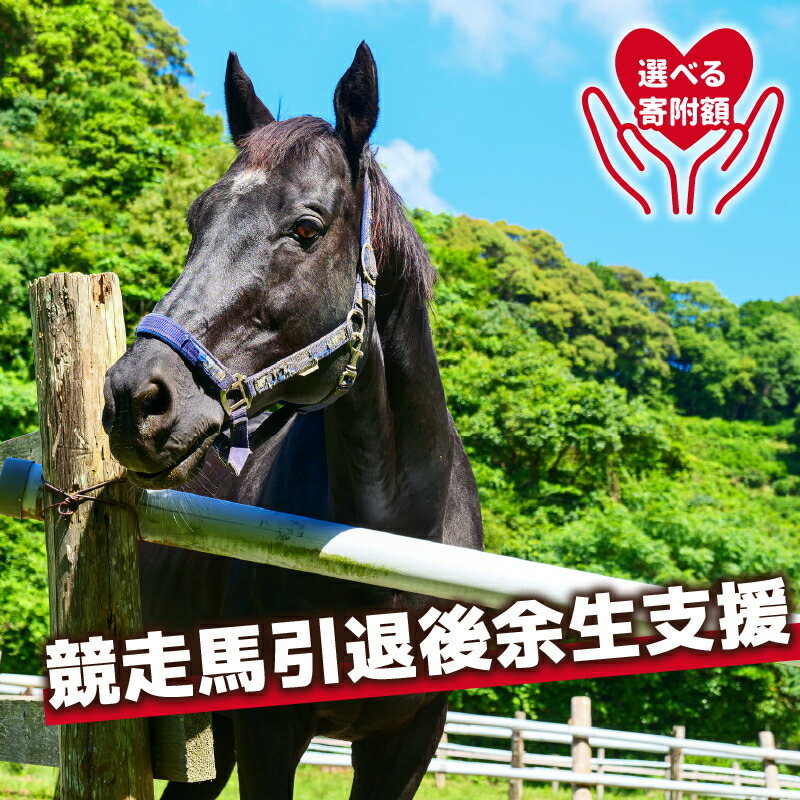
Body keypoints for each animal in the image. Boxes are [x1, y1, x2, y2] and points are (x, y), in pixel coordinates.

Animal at [103, 42, 483, 799]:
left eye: (306, 228)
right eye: (196, 222)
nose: (136, 396)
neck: (387, 544)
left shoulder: (408, 745)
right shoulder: (268, 733)